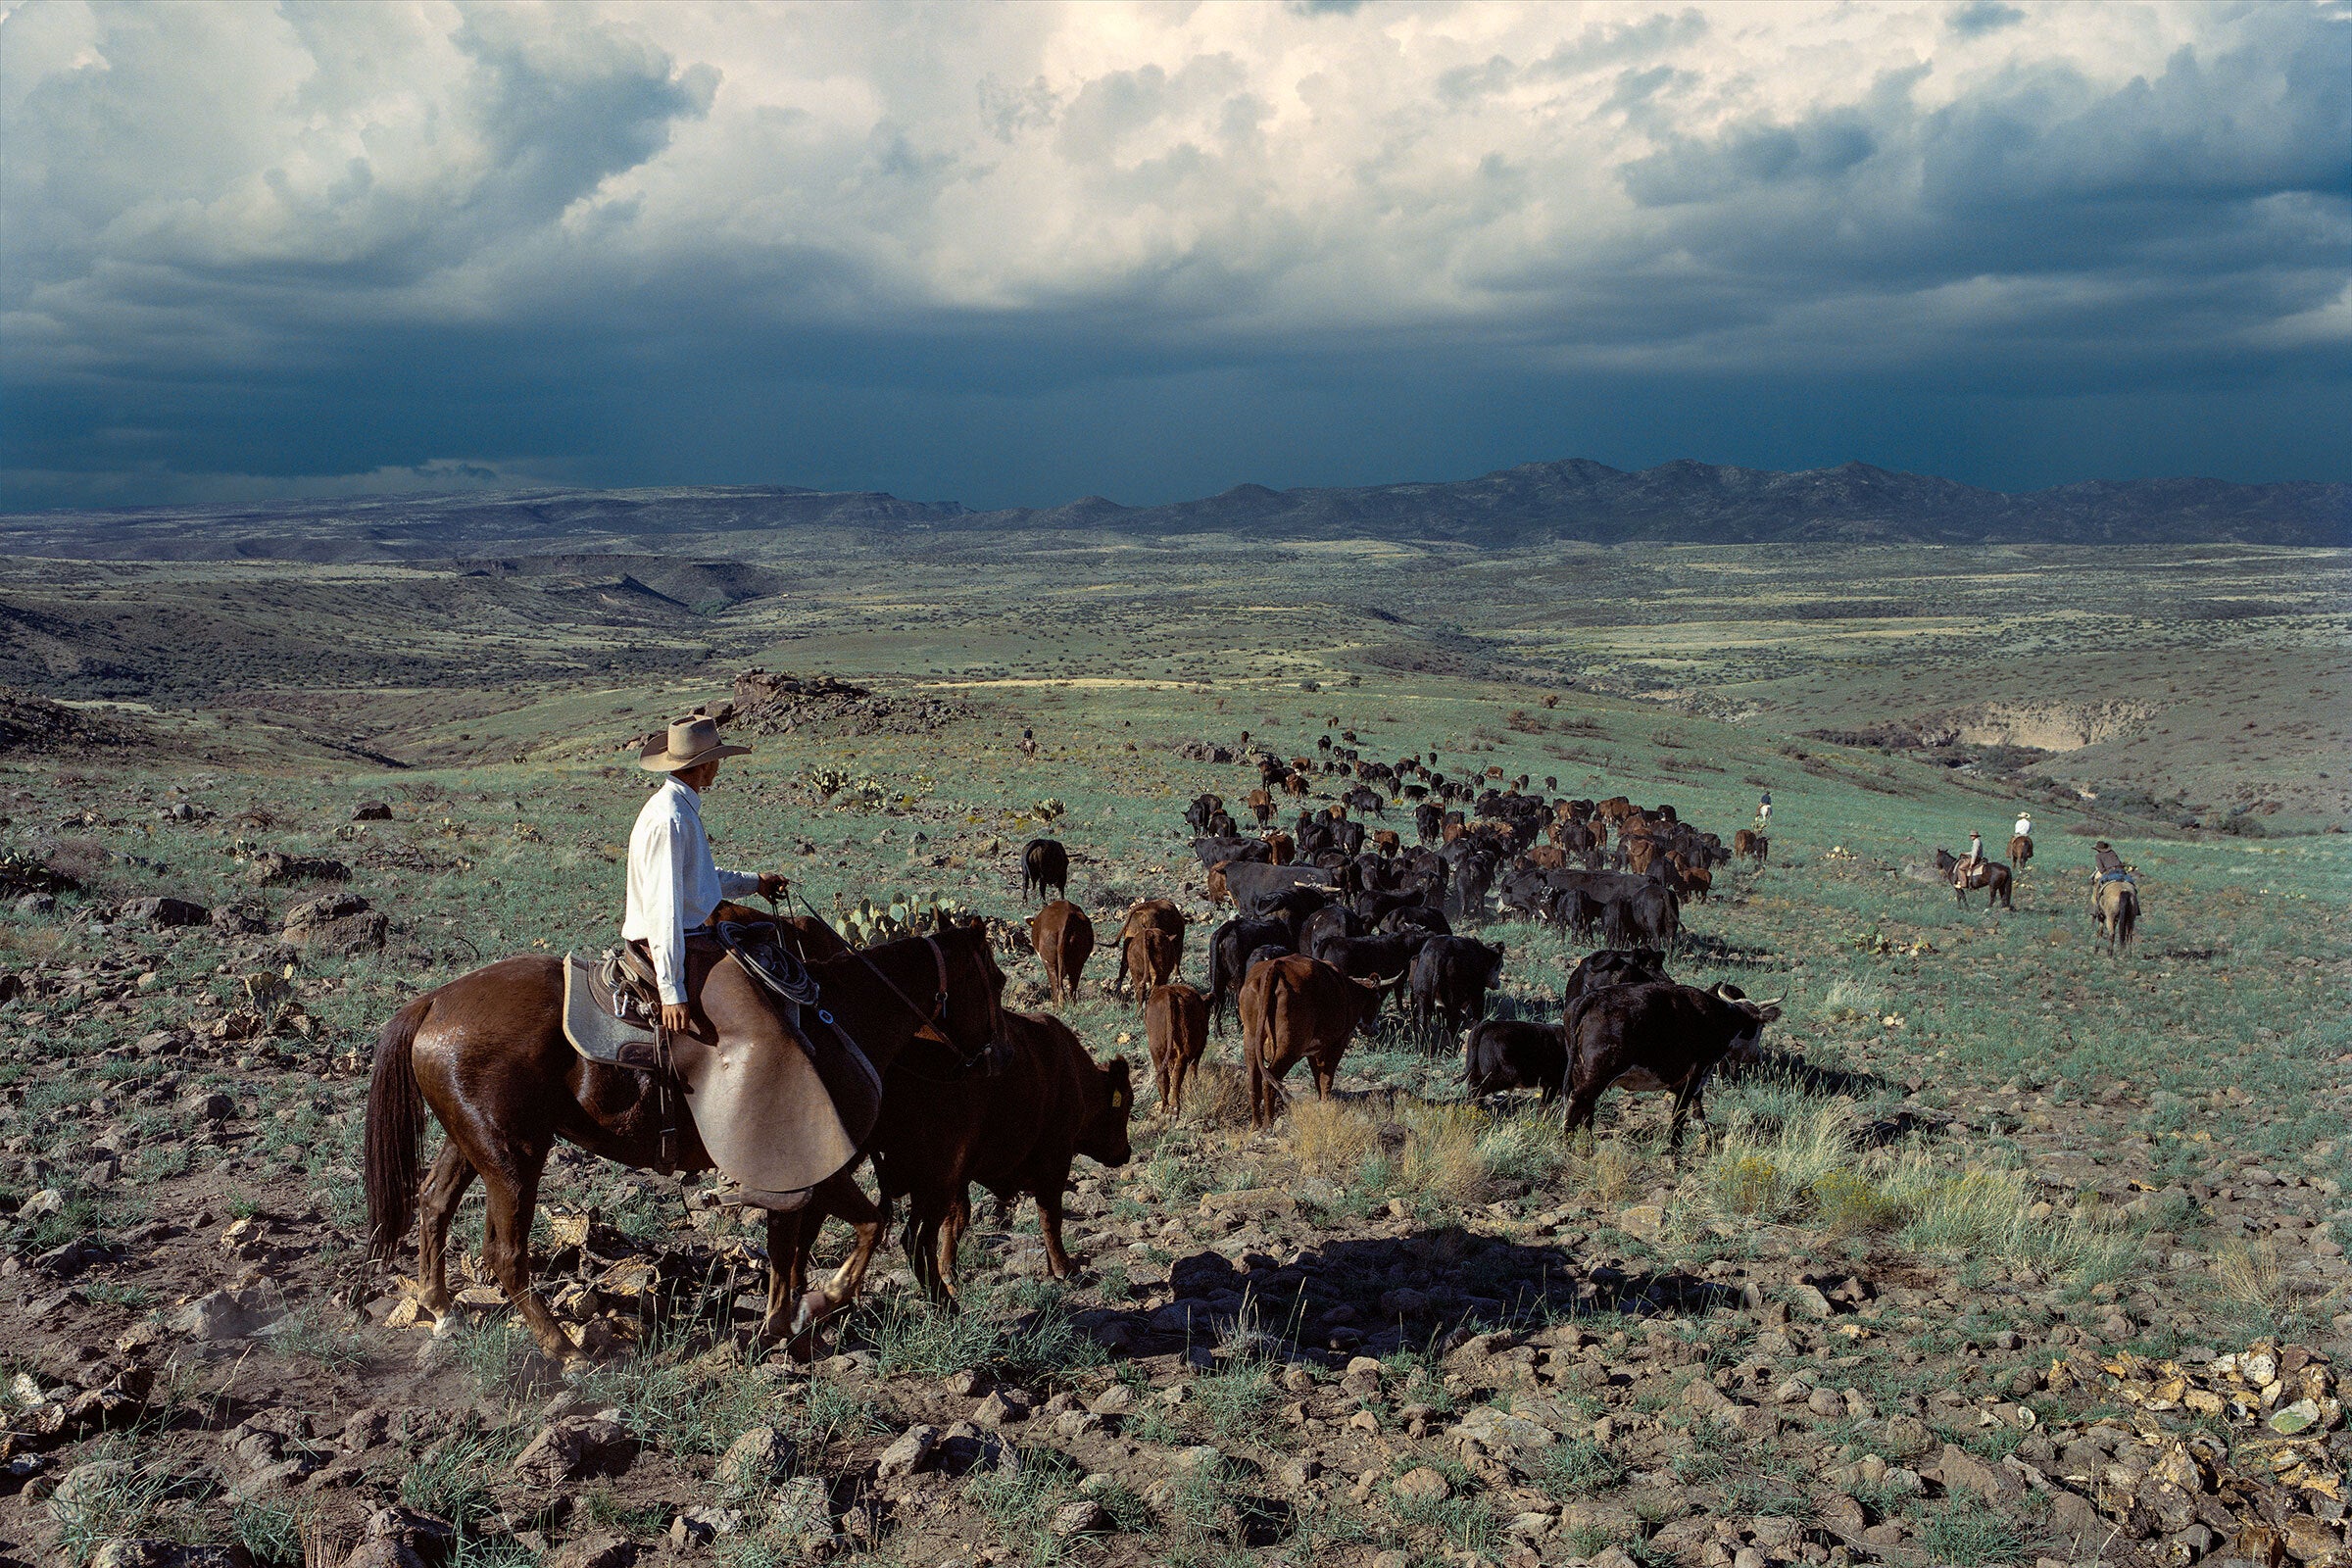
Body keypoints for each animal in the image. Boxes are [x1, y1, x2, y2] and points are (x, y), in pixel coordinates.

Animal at [362, 921, 1006, 1363]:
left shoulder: (802, 1181)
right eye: (996, 981)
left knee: (433, 1204)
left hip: (474, 1144)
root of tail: (435, 1001)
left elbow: (789, 1250)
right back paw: (564, 1349)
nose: (991, 1060)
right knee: (506, 1254)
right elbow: (866, 1227)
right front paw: (818, 1304)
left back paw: (442, 1310)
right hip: (513, 1157)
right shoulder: (819, 1174)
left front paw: (781, 1326)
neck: (841, 1021)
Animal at [884, 1010, 1138, 1306]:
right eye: (1126, 1104)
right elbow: (1050, 1216)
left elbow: (957, 1219)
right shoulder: (1055, 1159)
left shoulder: (960, 1173)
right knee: (917, 1237)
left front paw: (951, 1274)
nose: (1126, 1152)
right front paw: (1064, 1268)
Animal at [1242, 958, 1383, 1128]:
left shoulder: (1313, 1050)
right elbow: (1326, 1078)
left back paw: (1255, 1124)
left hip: (1250, 1040)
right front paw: (1326, 1105)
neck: (1348, 991)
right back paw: (1267, 1125)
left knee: (1253, 1083)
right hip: (1289, 1048)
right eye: (1378, 1001)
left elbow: (1318, 1077)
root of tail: (1275, 965)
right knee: (1268, 1084)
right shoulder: (1338, 1043)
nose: (1375, 1029)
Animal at [1561, 982, 1778, 1152]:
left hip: (1582, 1072)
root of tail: (1592, 997)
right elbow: (1680, 1113)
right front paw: (1676, 1148)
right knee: (1577, 1104)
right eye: (1759, 1027)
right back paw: (1568, 1148)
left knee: (1586, 1109)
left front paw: (1700, 1122)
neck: (1721, 1017)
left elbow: (1696, 1099)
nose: (1757, 1056)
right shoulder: (1695, 1072)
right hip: (1597, 1075)